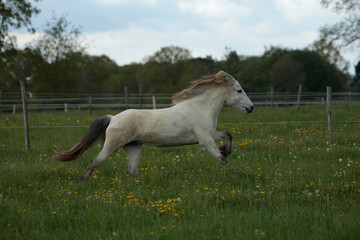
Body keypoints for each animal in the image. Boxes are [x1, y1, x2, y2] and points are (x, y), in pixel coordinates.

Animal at [53, 71, 255, 180]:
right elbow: (222, 160)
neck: (201, 107)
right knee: (95, 161)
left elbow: (228, 135)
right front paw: (233, 172)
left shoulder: (209, 135)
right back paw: (82, 181)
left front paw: (226, 149)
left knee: (132, 170)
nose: (251, 108)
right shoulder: (205, 140)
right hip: (113, 145)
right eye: (239, 90)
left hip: (134, 147)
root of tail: (112, 118)